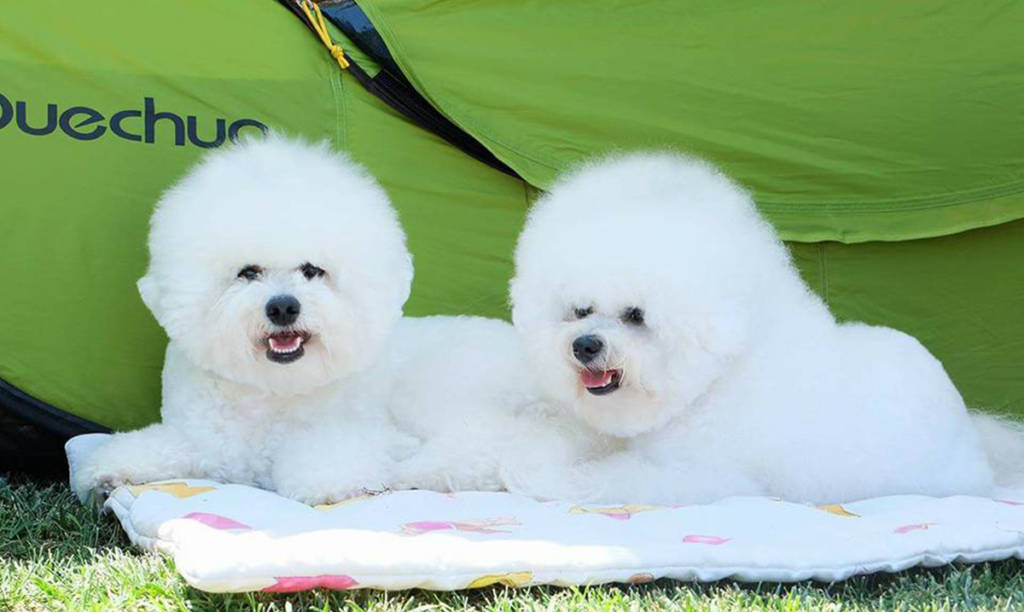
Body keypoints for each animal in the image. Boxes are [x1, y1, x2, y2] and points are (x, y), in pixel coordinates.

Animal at [71, 134, 419, 503]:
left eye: (312, 270)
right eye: (248, 272)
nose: (283, 308)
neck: (272, 390)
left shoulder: (374, 435)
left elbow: (333, 455)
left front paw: (331, 479)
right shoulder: (204, 441)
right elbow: (170, 446)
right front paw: (109, 470)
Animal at [502, 152, 1023, 505]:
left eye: (635, 315)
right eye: (580, 310)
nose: (585, 345)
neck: (717, 376)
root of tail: (972, 429)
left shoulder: (702, 476)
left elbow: (609, 480)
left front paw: (545, 475)